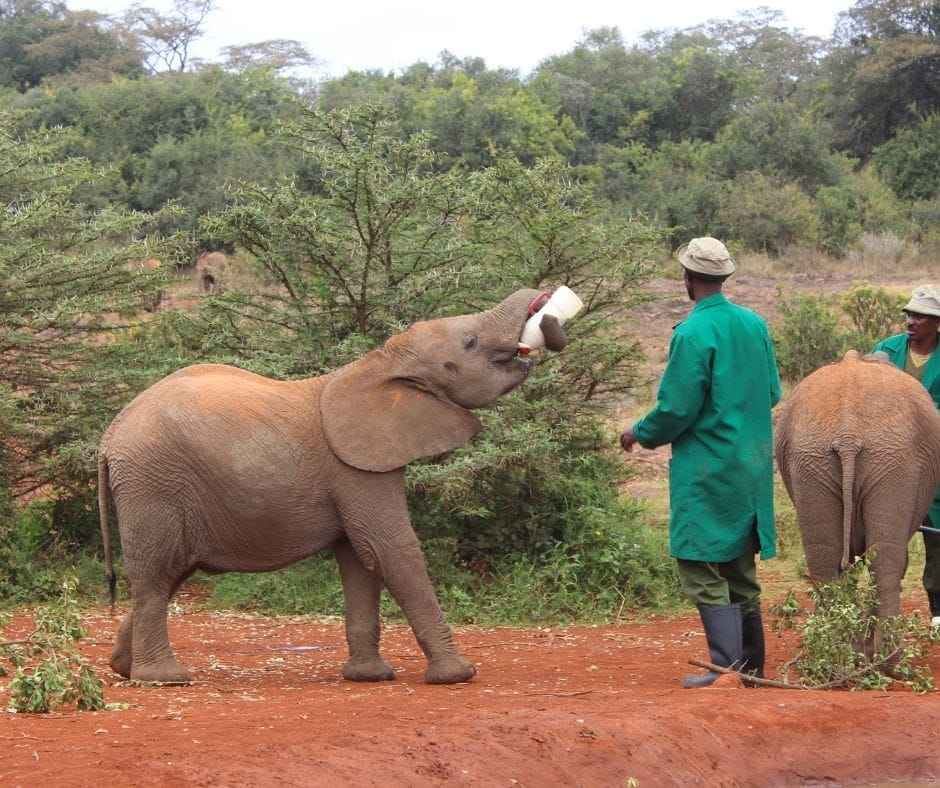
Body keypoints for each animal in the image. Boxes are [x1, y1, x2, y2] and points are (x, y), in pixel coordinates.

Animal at [97, 288, 564, 684]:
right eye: (469, 342)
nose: (546, 308)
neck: (383, 361)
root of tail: (109, 436)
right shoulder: (355, 468)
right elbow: (389, 547)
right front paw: (457, 676)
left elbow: (359, 560)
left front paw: (369, 677)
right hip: (152, 482)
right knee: (157, 573)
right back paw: (164, 679)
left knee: (171, 573)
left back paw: (123, 668)